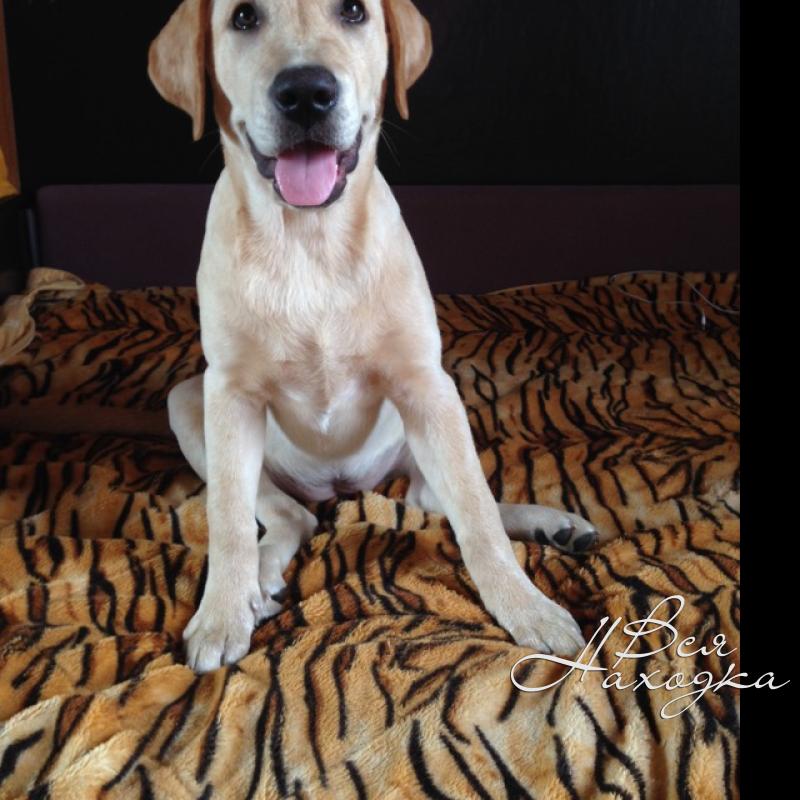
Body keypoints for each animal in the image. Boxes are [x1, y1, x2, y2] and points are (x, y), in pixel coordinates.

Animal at [149, 0, 598, 673]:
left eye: (355, 11)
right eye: (244, 17)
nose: (307, 93)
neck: (309, 240)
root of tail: (344, 487)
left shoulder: (426, 384)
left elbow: (476, 515)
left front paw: (529, 609)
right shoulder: (227, 396)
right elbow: (226, 516)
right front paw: (221, 614)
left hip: (432, 419)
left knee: (435, 500)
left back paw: (553, 524)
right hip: (188, 402)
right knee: (289, 516)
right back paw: (260, 580)